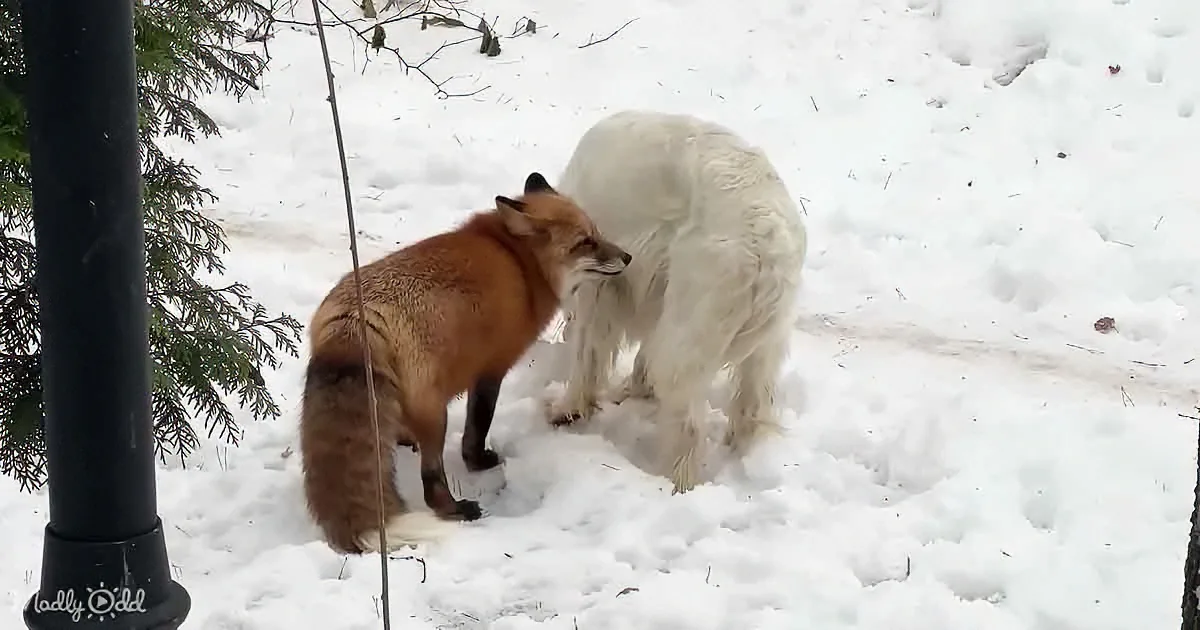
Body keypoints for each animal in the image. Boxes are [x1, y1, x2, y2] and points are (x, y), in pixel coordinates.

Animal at [299, 172, 632, 554]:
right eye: (585, 242)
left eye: (597, 233)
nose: (628, 257)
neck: (519, 263)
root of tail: (354, 318)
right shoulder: (491, 368)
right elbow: (477, 425)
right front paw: (479, 461)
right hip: (436, 415)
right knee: (431, 480)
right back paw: (456, 510)